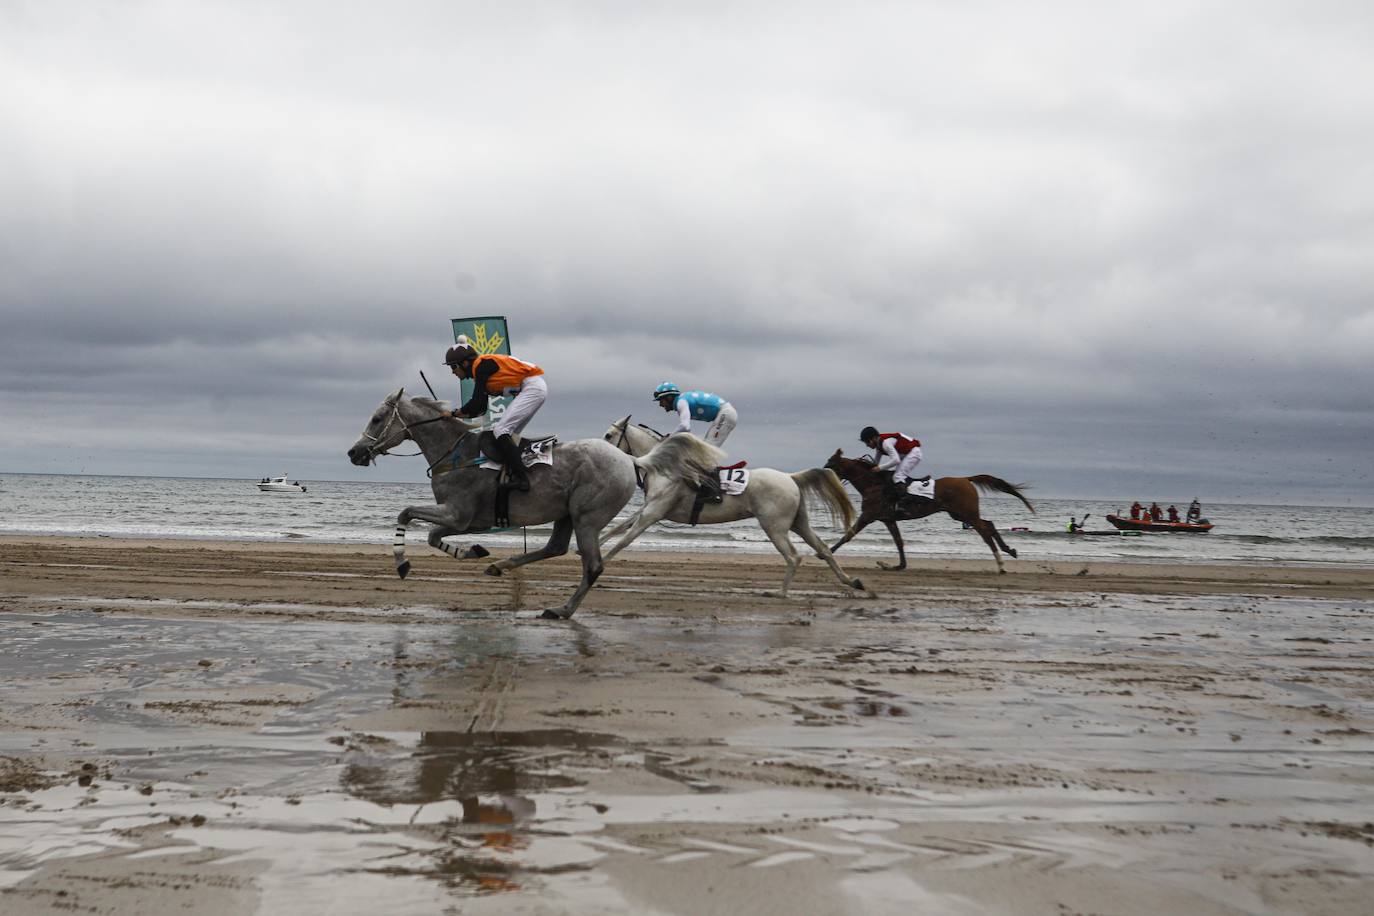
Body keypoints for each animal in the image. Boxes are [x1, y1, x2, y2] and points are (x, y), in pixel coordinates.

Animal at [343, 390, 643, 620]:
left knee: (592, 566)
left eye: (377, 419)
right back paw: (501, 565)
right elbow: (432, 536)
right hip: (567, 514)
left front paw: (402, 563)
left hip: (587, 519)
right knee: (555, 547)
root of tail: (628, 461)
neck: (456, 455)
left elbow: (405, 513)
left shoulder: (457, 515)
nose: (354, 452)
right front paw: (473, 551)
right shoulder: (469, 521)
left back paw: (562, 609)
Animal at [601, 417, 868, 601]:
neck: (663, 466)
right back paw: (852, 581)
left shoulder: (653, 513)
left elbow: (623, 540)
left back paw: (779, 593)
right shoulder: (647, 510)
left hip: (774, 526)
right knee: (823, 548)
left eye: (608, 435)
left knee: (794, 556)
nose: (603, 453)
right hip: (798, 522)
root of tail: (791, 477)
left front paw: (600, 564)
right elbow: (616, 529)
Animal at [818, 450, 1033, 574]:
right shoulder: (888, 519)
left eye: (830, 463)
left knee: (985, 531)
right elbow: (899, 542)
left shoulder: (868, 516)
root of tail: (966, 479)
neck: (874, 484)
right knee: (989, 524)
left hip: (965, 513)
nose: (820, 475)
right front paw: (898, 566)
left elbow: (848, 535)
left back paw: (1001, 563)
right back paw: (1009, 551)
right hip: (960, 514)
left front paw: (824, 553)